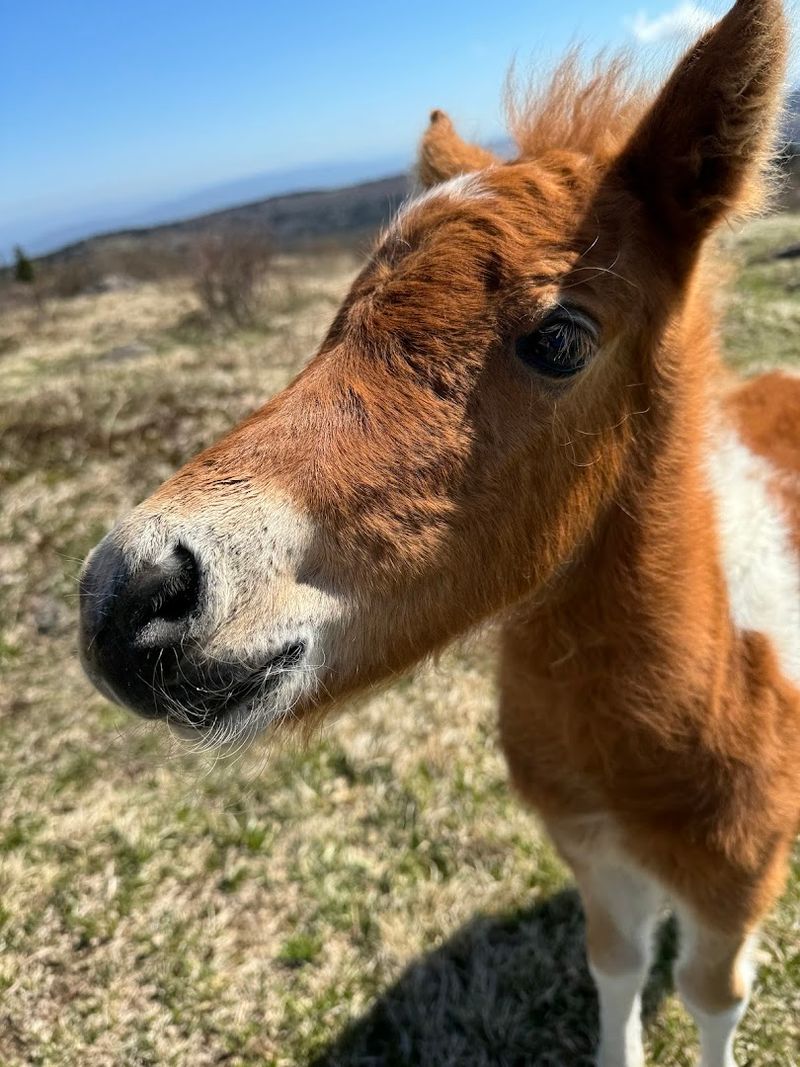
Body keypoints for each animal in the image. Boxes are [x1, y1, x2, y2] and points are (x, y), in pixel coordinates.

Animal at [79, 2, 799, 1064]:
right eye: (341, 314)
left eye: (561, 338)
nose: (129, 598)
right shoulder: (591, 852)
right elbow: (616, 963)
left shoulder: (737, 883)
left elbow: (714, 996)